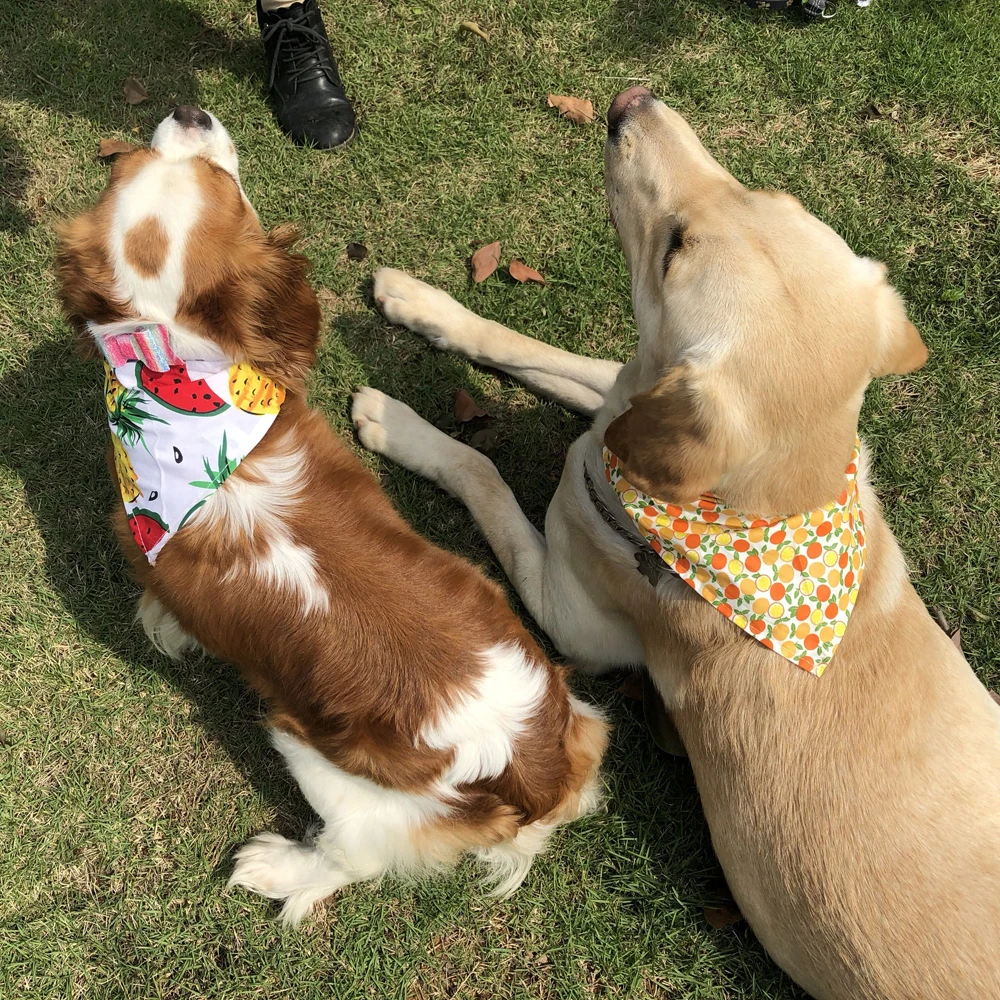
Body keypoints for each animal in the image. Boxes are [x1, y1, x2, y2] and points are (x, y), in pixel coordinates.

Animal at [55, 106, 607, 926]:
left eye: (223, 179)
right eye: (124, 165)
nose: (192, 111)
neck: (171, 377)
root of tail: (530, 768)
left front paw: (163, 628)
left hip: (315, 753)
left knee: (358, 856)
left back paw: (280, 867)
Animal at [351, 90, 1000, 999]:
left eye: (673, 249)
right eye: (768, 192)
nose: (632, 101)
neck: (761, 509)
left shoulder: (570, 610)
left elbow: (482, 470)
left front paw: (396, 422)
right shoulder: (628, 402)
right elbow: (525, 346)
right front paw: (420, 302)